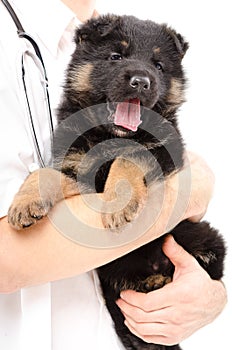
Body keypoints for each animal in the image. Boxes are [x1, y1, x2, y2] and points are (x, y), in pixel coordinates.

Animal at [8, 15, 226, 348]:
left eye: (158, 65)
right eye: (115, 56)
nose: (141, 81)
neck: (109, 134)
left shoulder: (166, 151)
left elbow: (129, 156)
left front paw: (119, 204)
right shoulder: (78, 172)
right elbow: (43, 173)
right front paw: (24, 202)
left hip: (200, 234)